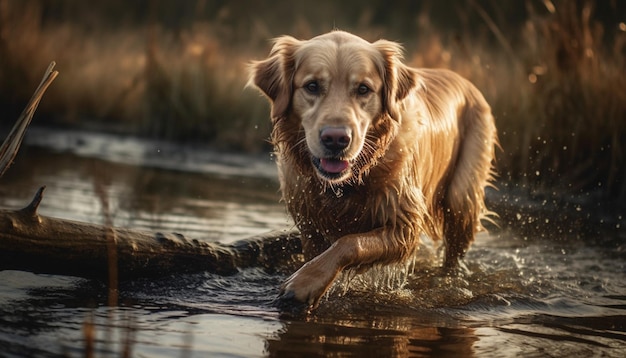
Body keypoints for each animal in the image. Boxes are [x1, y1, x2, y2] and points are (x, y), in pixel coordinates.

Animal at [246, 30, 494, 310]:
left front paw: (303, 283)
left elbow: (350, 242)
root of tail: (464, 80)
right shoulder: (310, 226)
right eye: (312, 86)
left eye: (363, 89)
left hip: (462, 197)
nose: (336, 139)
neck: (350, 181)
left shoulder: (404, 226)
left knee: (454, 253)